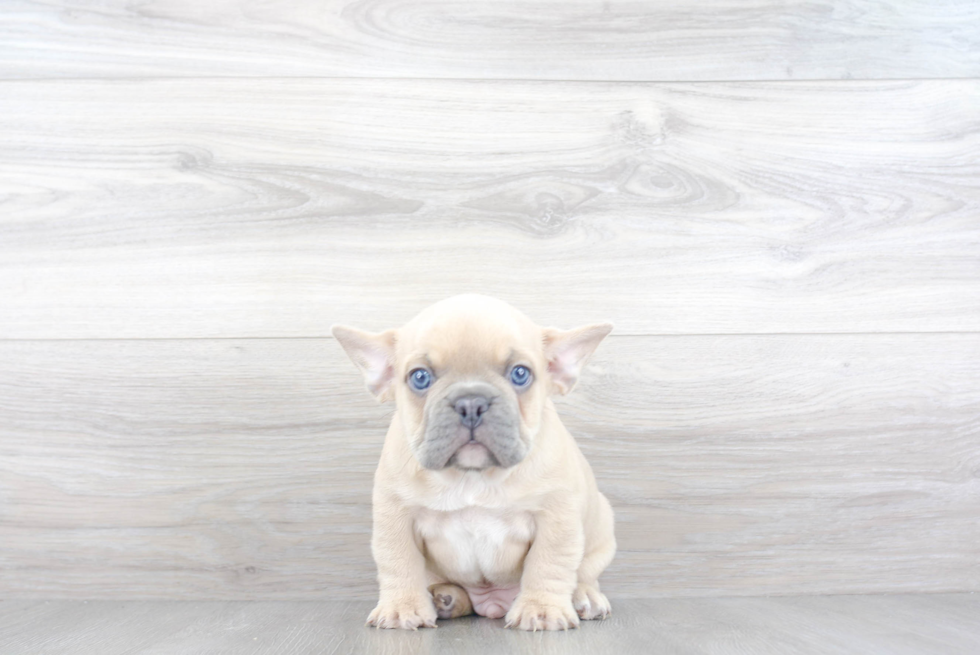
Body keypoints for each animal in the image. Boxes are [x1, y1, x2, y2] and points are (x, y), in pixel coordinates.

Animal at [334, 296, 616, 632]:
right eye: (420, 377)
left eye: (520, 374)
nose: (470, 402)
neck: (472, 477)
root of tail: (491, 604)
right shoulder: (396, 515)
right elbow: (399, 561)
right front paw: (402, 607)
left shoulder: (556, 515)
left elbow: (549, 563)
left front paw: (542, 609)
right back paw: (445, 598)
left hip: (602, 531)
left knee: (584, 573)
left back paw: (584, 597)